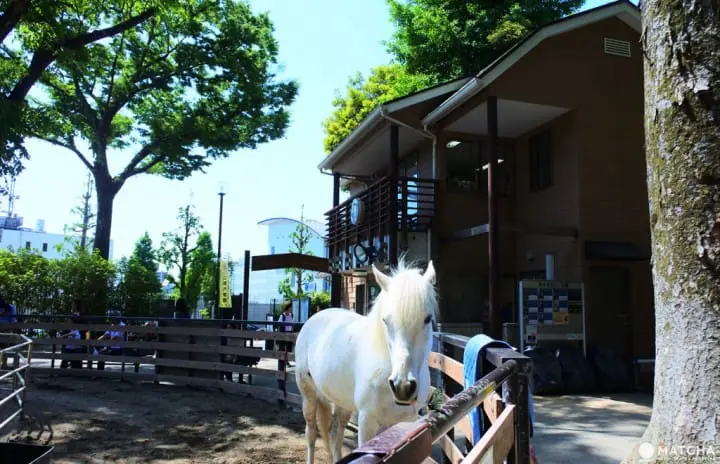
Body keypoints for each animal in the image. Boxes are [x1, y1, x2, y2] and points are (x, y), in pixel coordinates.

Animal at [294, 259, 438, 463]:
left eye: (428, 319)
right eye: (385, 320)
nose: (402, 387)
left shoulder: (407, 423)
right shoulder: (367, 421)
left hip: (342, 402)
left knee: (335, 435)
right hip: (308, 395)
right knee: (312, 434)